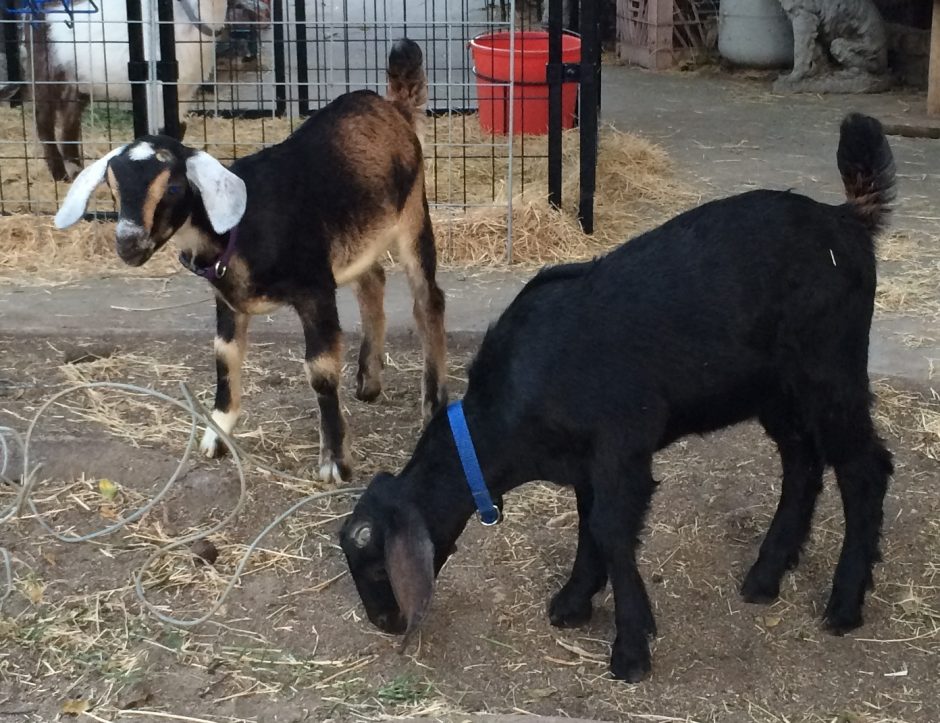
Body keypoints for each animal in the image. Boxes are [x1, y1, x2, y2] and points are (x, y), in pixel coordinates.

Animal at [21, 0, 226, 181]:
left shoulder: (185, 90)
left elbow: (178, 129)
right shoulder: (156, 89)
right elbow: (161, 134)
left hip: (78, 82)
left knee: (69, 122)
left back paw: (76, 170)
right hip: (46, 71)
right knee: (44, 121)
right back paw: (59, 173)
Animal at [53, 38, 448, 484]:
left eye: (172, 186)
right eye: (113, 186)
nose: (128, 243)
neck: (240, 228)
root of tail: (392, 106)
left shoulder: (314, 290)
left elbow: (321, 369)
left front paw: (335, 462)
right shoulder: (227, 299)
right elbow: (225, 356)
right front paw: (217, 435)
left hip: (412, 214)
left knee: (427, 300)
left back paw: (433, 402)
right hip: (359, 236)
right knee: (373, 280)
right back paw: (368, 381)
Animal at [340, 113, 895, 682]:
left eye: (374, 564)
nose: (385, 622)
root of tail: (847, 220)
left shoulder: (620, 449)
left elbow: (610, 531)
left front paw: (630, 648)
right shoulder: (587, 465)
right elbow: (591, 528)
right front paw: (574, 602)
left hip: (831, 372)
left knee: (864, 469)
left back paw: (844, 604)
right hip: (778, 393)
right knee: (802, 464)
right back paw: (765, 576)